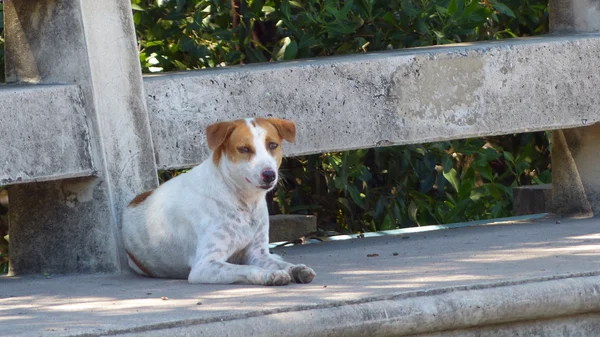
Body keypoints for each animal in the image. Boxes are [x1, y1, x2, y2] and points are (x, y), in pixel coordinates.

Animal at [123, 117, 318, 284]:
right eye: (244, 149)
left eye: (273, 145)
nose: (269, 175)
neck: (242, 200)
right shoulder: (205, 265)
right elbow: (246, 269)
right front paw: (269, 274)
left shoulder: (258, 253)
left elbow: (281, 264)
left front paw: (295, 269)